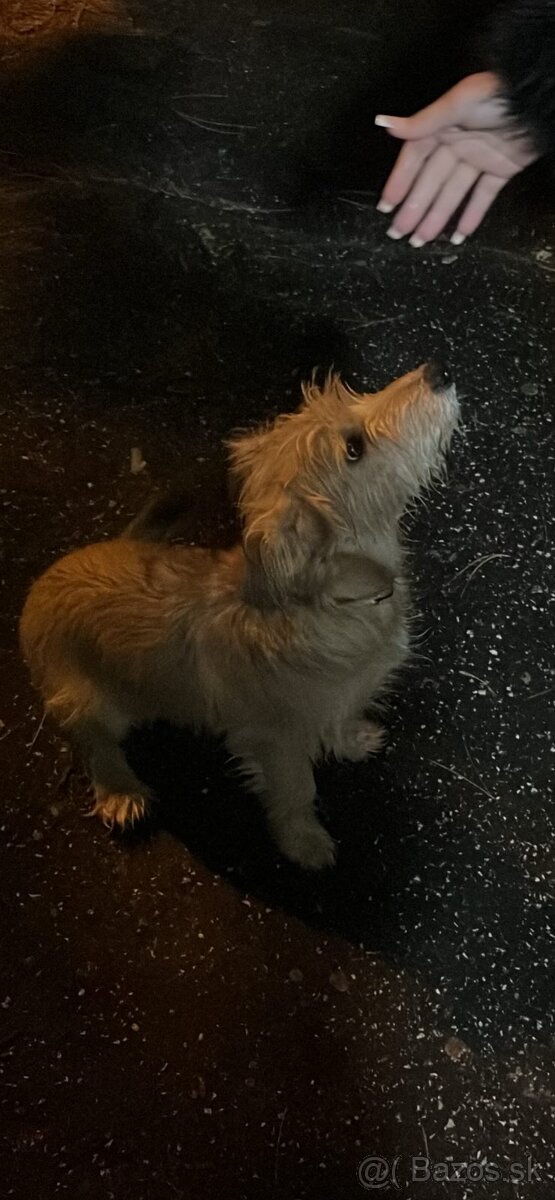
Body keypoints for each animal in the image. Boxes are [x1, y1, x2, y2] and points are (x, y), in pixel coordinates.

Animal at [19, 363, 458, 869]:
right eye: (354, 448)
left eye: (351, 395)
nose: (438, 370)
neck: (334, 605)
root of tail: (46, 579)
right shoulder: (278, 744)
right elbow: (296, 793)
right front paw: (303, 841)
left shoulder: (340, 699)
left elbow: (340, 718)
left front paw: (350, 740)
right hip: (87, 703)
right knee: (94, 745)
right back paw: (119, 790)